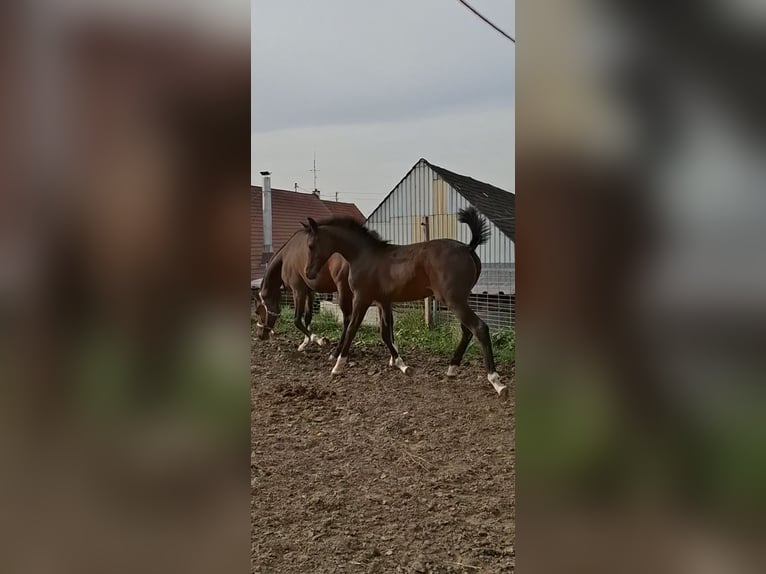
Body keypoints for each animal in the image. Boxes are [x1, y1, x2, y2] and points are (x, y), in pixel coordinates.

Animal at [306, 207, 510, 400]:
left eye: (311, 245)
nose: (308, 273)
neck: (364, 256)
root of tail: (468, 248)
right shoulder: (383, 301)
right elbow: (385, 333)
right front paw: (401, 365)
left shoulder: (362, 298)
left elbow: (352, 328)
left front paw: (337, 366)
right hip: (459, 300)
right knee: (467, 331)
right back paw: (452, 369)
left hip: (453, 300)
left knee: (479, 328)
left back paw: (496, 382)